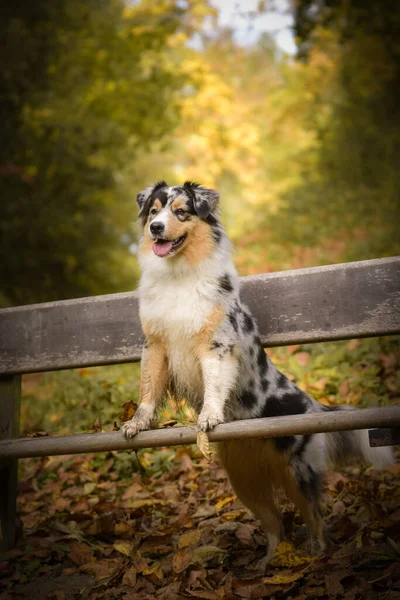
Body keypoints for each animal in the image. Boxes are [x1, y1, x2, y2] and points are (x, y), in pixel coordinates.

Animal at [122, 180, 394, 560]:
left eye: (181, 212)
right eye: (153, 211)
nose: (156, 229)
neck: (178, 274)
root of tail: (316, 407)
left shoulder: (216, 345)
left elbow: (213, 385)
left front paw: (208, 417)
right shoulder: (156, 345)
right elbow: (148, 388)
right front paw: (138, 422)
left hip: (297, 472)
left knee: (315, 519)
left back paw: (315, 558)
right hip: (244, 480)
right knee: (275, 524)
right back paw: (270, 562)